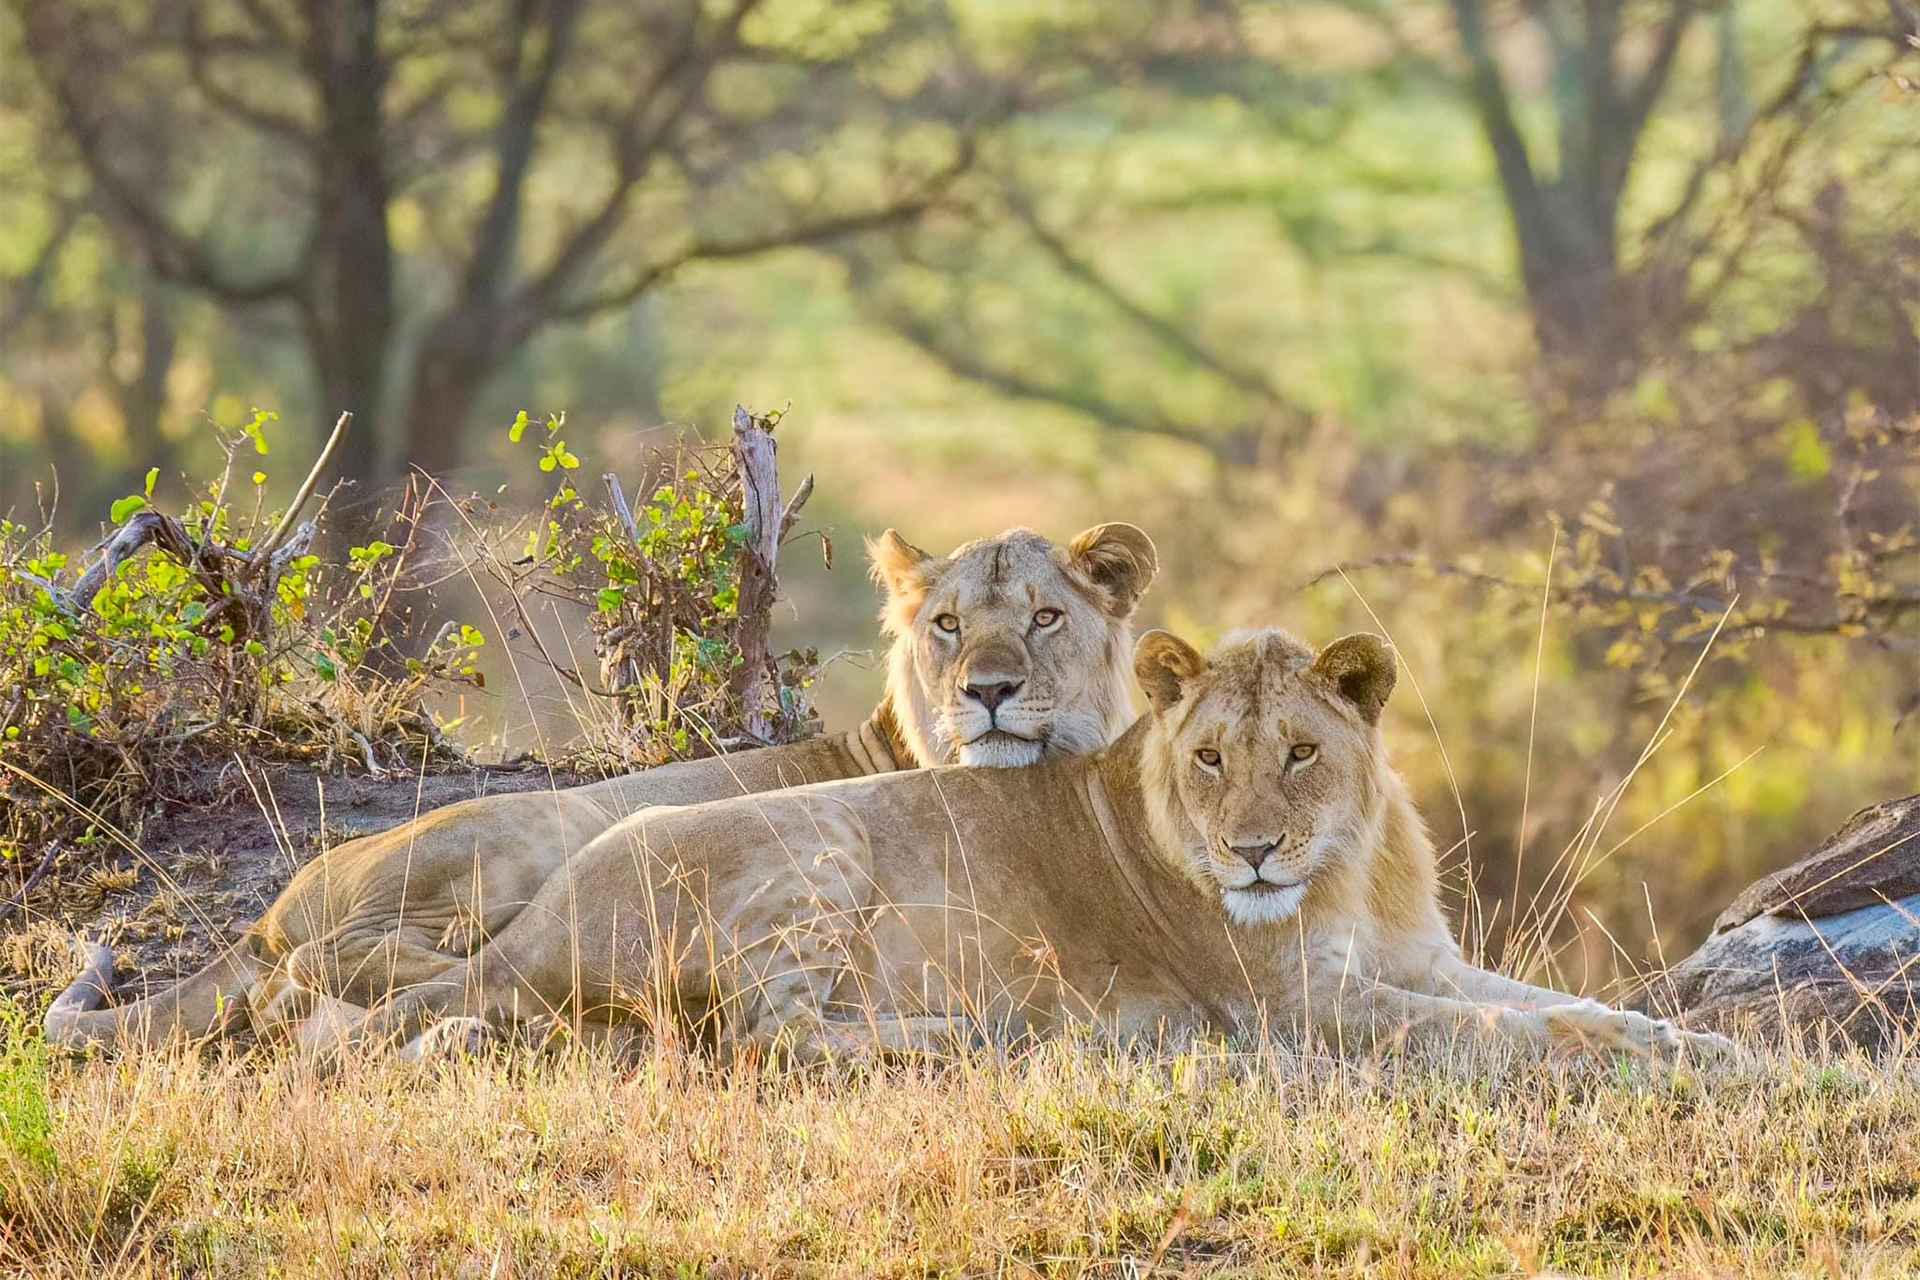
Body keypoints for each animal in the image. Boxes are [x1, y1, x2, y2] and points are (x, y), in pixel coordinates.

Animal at [44, 522, 1160, 1052]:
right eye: (947, 626)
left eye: (1046, 616)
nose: (989, 691)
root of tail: (270, 909)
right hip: (539, 831)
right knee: (343, 966)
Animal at [305, 627, 1738, 1064]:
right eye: (1209, 756)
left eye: (1300, 751)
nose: (1255, 855)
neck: (1347, 862)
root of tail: (523, 937)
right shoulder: (1296, 1007)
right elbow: (1515, 1032)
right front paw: (1671, 1062)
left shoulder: (1420, 961)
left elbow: (1560, 1000)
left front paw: (1712, 1046)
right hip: (819, 846)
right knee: (769, 1033)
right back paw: (987, 1034)